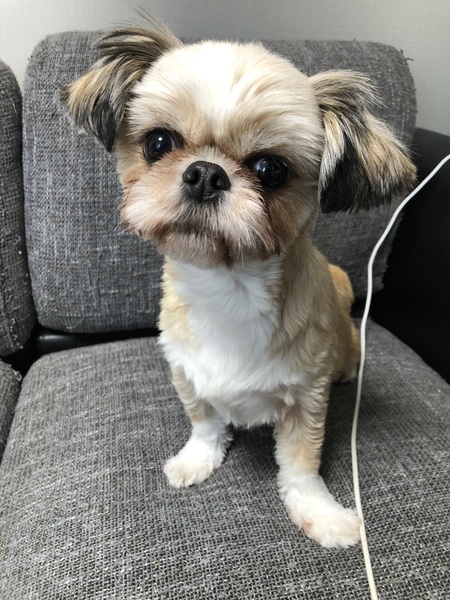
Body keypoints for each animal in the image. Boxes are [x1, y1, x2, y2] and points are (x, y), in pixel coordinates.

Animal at [63, 19, 416, 547]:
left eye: (270, 169)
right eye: (158, 143)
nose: (206, 174)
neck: (229, 288)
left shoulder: (306, 398)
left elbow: (300, 465)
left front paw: (320, 514)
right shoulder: (186, 374)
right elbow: (205, 424)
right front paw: (196, 459)